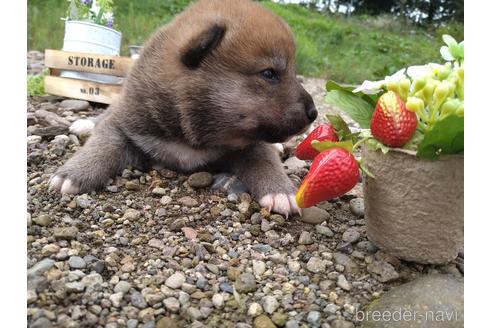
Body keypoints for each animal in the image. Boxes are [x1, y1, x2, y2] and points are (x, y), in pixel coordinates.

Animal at [48, 0, 318, 217]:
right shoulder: (126, 123)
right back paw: (84, 123)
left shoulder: (252, 142)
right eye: (269, 74)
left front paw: (280, 191)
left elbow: (264, 159)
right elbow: (104, 143)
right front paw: (74, 172)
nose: (314, 113)